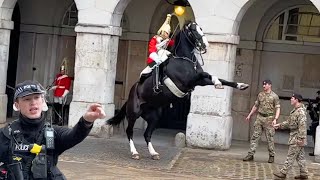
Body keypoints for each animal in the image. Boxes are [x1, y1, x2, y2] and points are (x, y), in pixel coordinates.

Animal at [106, 21, 249, 160]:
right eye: (193, 30)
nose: (206, 45)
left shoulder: (199, 81)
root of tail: (131, 93)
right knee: (129, 132)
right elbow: (207, 74)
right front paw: (217, 82)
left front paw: (240, 85)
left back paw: (153, 153)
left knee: (147, 134)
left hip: (154, 116)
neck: (185, 59)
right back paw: (134, 152)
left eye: (201, 28)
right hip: (134, 113)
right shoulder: (188, 81)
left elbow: (219, 78)